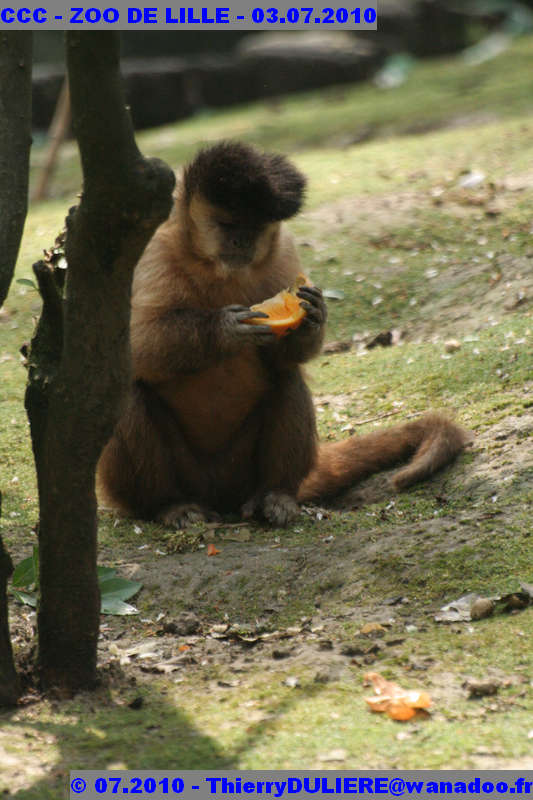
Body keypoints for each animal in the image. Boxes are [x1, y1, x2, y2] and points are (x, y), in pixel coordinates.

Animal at [97, 141, 468, 528]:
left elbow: (287, 355)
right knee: (127, 392)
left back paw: (275, 495)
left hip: (240, 474)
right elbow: (133, 349)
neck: (217, 269)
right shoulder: (151, 250)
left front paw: (313, 316)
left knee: (287, 377)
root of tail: (219, 496)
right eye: (228, 223)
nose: (241, 241)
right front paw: (224, 330)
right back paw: (168, 504)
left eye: (255, 227)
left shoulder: (283, 251)